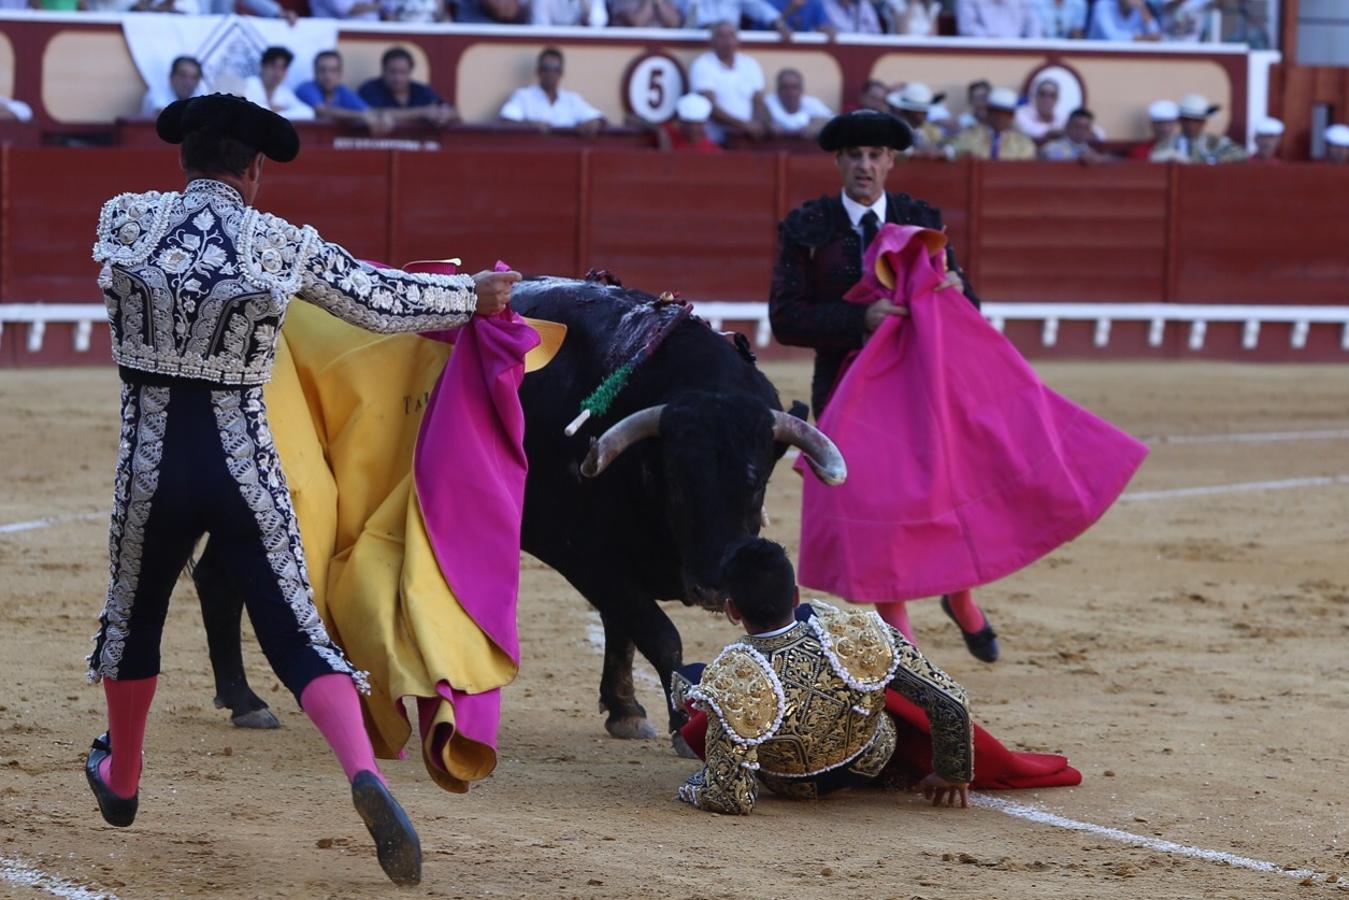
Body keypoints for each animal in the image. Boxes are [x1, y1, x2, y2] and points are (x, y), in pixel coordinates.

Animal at [192, 277, 841, 750]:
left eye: (755, 480)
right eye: (674, 480)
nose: (710, 584)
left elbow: (622, 630)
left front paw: (625, 710)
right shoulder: (583, 552)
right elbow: (656, 631)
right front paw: (681, 726)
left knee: (218, 576)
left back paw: (244, 697)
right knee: (222, 579)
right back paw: (248, 701)